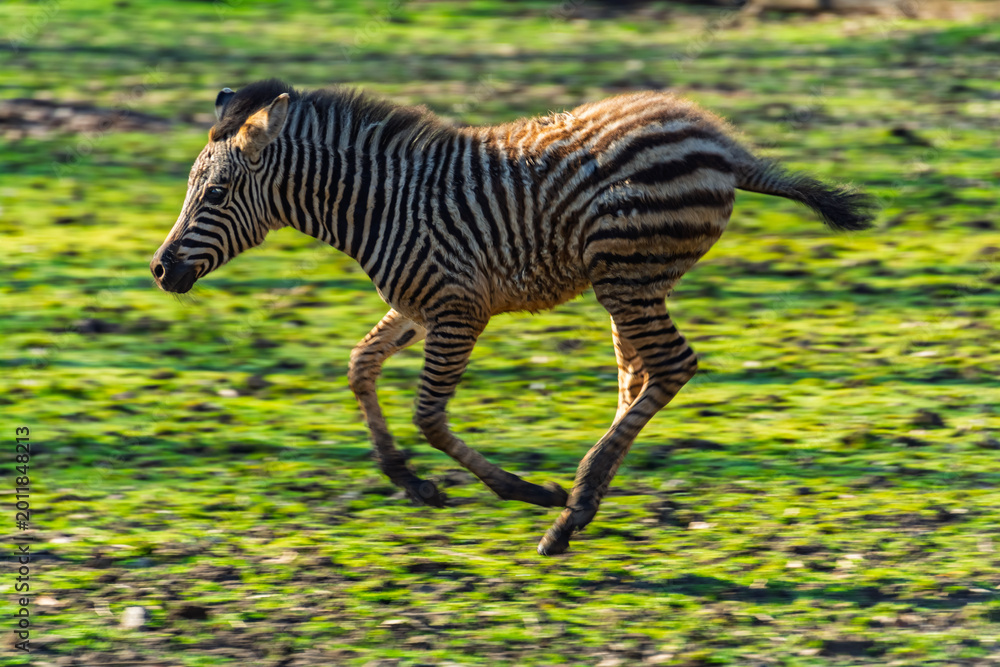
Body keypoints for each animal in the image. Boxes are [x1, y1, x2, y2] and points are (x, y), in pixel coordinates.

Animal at [151, 79, 876, 555]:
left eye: (216, 193)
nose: (159, 270)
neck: (381, 205)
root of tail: (720, 143)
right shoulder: (418, 304)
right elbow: (360, 367)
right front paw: (408, 479)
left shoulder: (456, 309)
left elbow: (429, 415)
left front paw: (520, 489)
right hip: (631, 281)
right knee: (639, 376)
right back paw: (584, 505)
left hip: (625, 274)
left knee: (670, 366)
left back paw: (570, 509)